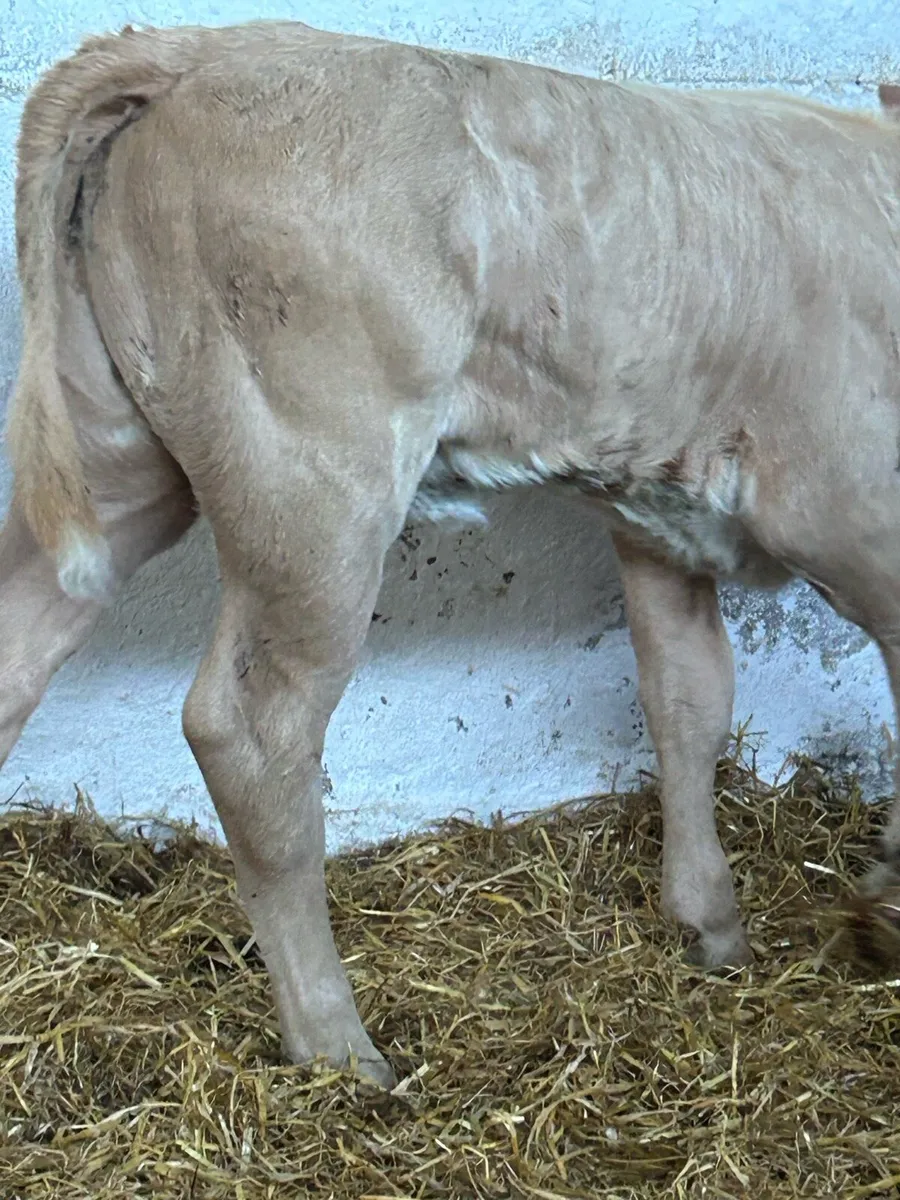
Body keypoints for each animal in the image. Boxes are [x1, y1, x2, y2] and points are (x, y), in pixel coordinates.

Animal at [2, 20, 900, 1088]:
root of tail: (199, 49)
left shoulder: (657, 521)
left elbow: (688, 701)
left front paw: (710, 924)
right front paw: (881, 908)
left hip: (111, 449)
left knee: (17, 652)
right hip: (315, 482)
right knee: (253, 732)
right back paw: (338, 1046)